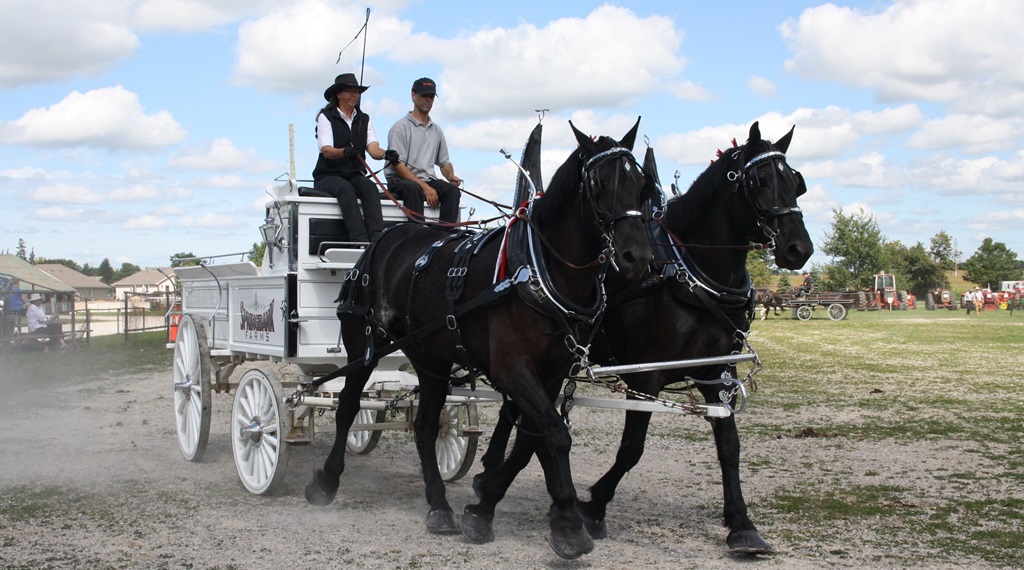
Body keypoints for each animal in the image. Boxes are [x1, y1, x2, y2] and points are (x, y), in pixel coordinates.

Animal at [304, 119, 656, 560]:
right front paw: (568, 524)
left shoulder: (553, 371)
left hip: (430, 357)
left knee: (425, 426)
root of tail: (382, 239)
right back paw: (326, 481)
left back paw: (439, 505)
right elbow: (554, 435)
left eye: (642, 186)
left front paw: (496, 505)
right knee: (348, 408)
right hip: (362, 345)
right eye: (598, 183)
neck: (539, 269)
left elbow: (533, 439)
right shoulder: (512, 368)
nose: (636, 257)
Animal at [474, 122, 813, 554]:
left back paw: (490, 471)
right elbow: (632, 448)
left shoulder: (716, 372)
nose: (799, 248)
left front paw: (741, 523)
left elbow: (729, 445)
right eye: (761, 180)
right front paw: (594, 506)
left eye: (797, 183)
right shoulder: (646, 376)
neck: (687, 273)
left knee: (515, 412)